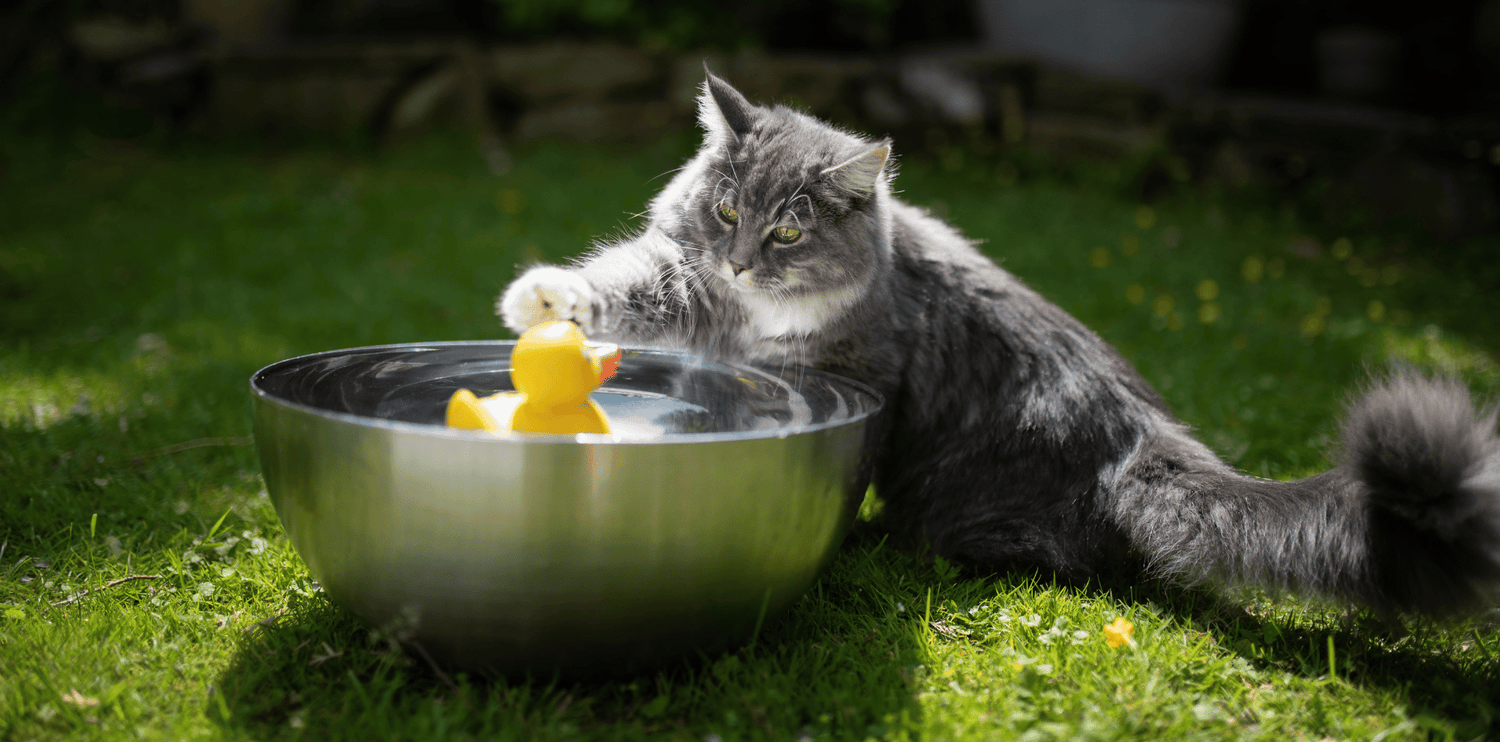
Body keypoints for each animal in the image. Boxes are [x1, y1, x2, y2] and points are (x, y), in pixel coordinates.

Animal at [498, 69, 1494, 617]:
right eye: (729, 211)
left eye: (788, 232)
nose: (742, 263)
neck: (752, 315)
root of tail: (1153, 445)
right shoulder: (690, 286)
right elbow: (627, 285)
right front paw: (543, 302)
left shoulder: (861, 368)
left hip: (969, 506)